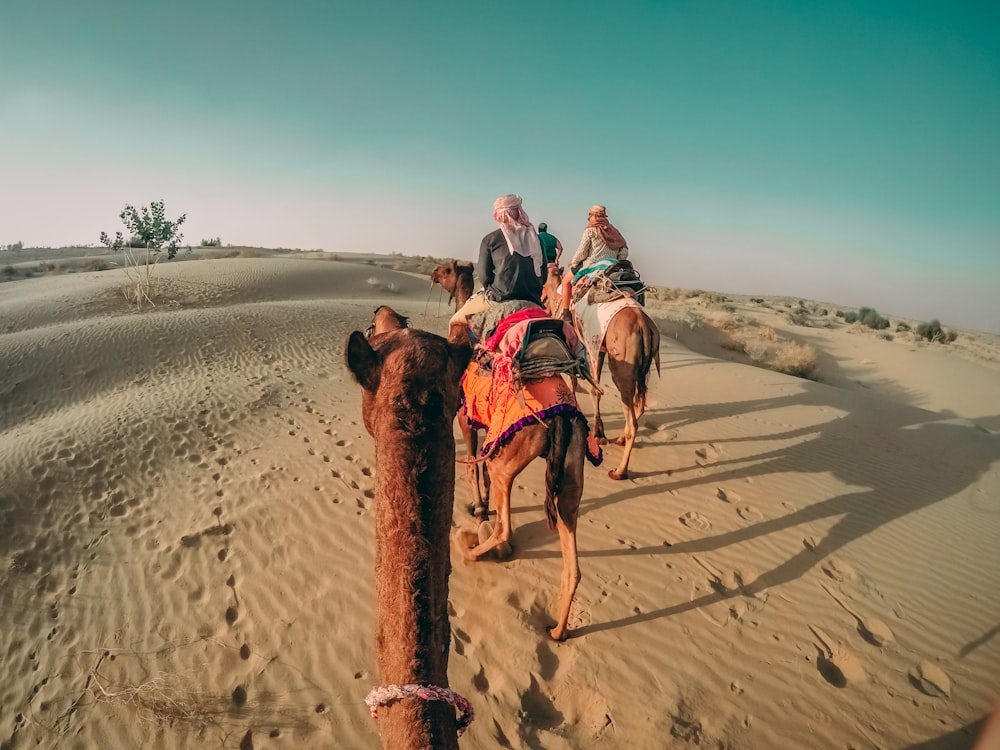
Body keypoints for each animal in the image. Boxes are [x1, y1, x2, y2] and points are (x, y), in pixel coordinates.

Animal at [544, 270, 660, 482]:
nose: (544, 304)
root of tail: (644, 327)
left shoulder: (586, 345)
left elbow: (587, 387)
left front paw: (598, 433)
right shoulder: (598, 348)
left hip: (621, 369)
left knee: (632, 419)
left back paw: (620, 471)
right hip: (643, 368)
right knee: (639, 404)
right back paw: (620, 439)